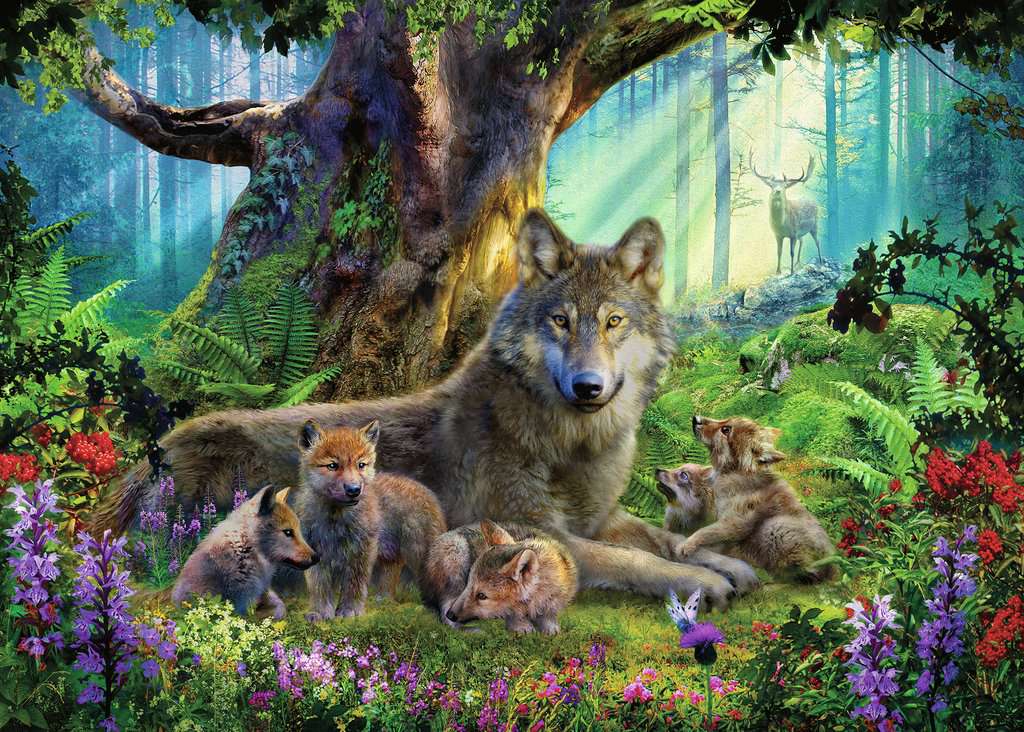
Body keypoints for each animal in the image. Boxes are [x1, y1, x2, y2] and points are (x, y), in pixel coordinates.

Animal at [294, 419, 446, 619]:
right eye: (332, 465)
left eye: (361, 465)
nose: (354, 489)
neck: (336, 519)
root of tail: (425, 490)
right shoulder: (315, 550)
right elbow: (319, 586)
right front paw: (319, 613)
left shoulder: (361, 551)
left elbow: (354, 584)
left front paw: (350, 611)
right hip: (391, 554)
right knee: (391, 574)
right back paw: (385, 600)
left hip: (419, 553)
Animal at [423, 520, 577, 634]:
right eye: (468, 584)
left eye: (481, 595)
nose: (451, 615)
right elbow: (513, 616)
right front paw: (521, 627)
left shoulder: (553, 601)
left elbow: (548, 615)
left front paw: (550, 629)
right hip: (455, 559)